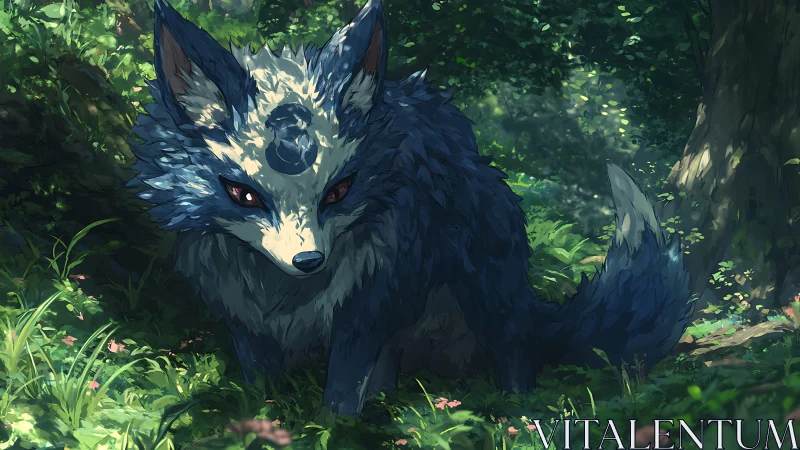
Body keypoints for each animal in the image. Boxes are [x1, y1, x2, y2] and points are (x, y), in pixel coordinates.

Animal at [129, 0, 695, 416]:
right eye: (244, 194)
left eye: (338, 191)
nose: (309, 261)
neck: (284, 294)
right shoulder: (242, 313)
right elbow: (261, 383)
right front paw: (262, 420)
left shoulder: (370, 297)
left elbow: (343, 387)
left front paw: (334, 426)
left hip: (484, 284)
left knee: (514, 346)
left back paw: (517, 408)